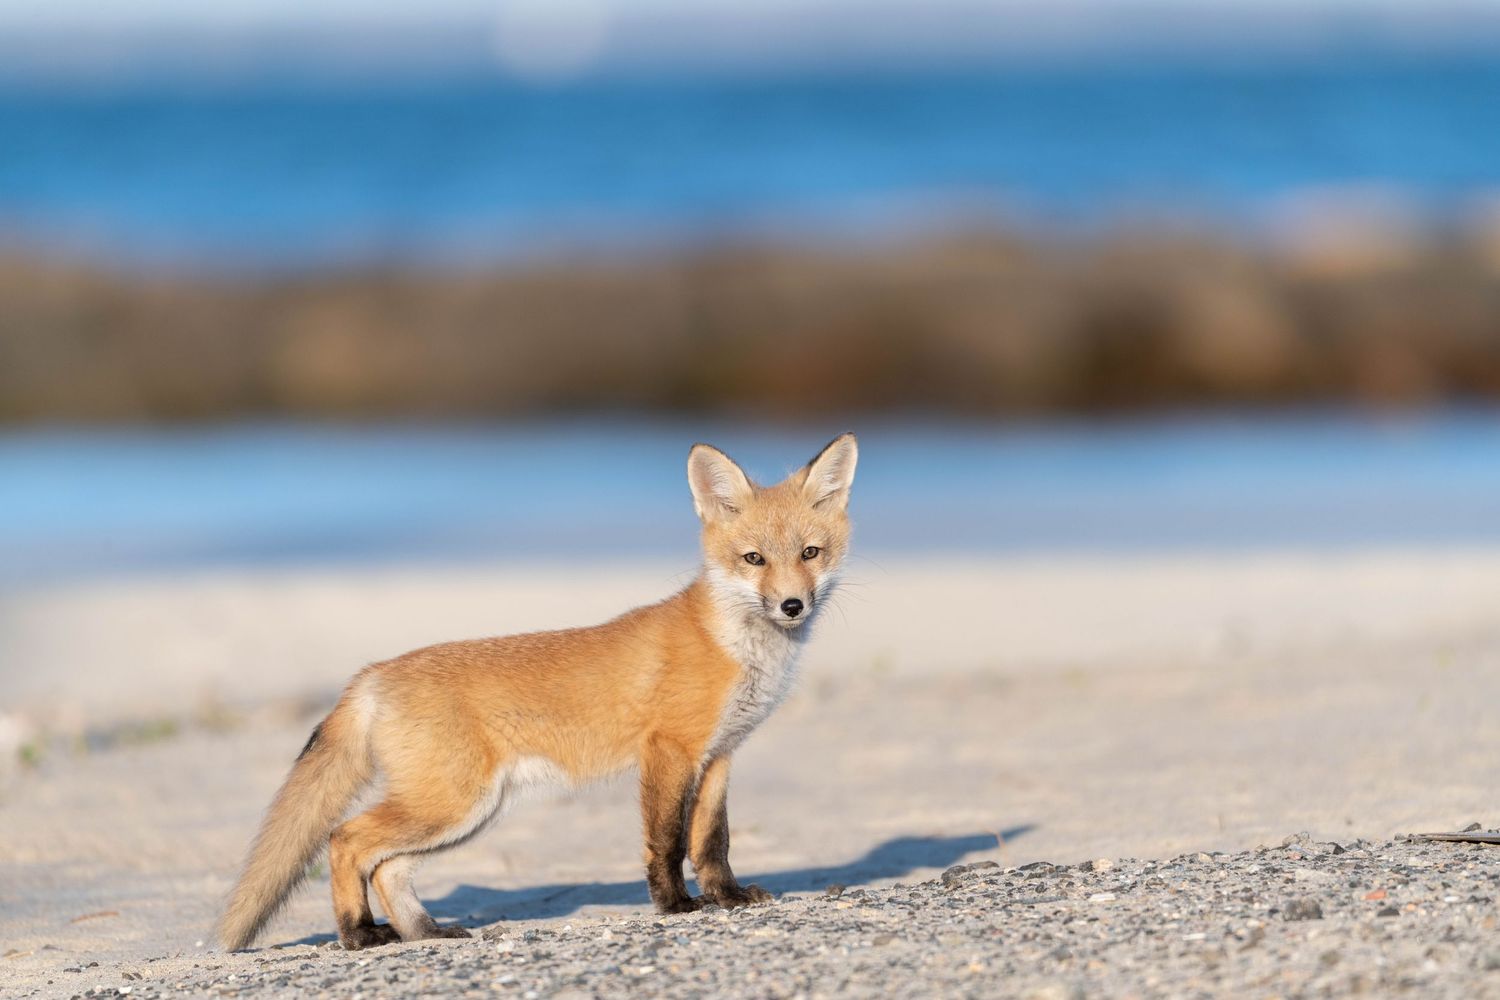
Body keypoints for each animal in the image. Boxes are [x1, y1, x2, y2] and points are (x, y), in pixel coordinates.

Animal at [218, 432, 858, 951]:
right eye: (753, 559)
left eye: (810, 553)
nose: (792, 605)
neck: (737, 648)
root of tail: (372, 672)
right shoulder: (669, 751)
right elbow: (668, 841)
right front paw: (675, 906)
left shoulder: (719, 754)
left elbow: (712, 841)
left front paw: (727, 897)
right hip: (451, 804)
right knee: (345, 840)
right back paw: (357, 933)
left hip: (466, 812)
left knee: (387, 868)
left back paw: (423, 932)